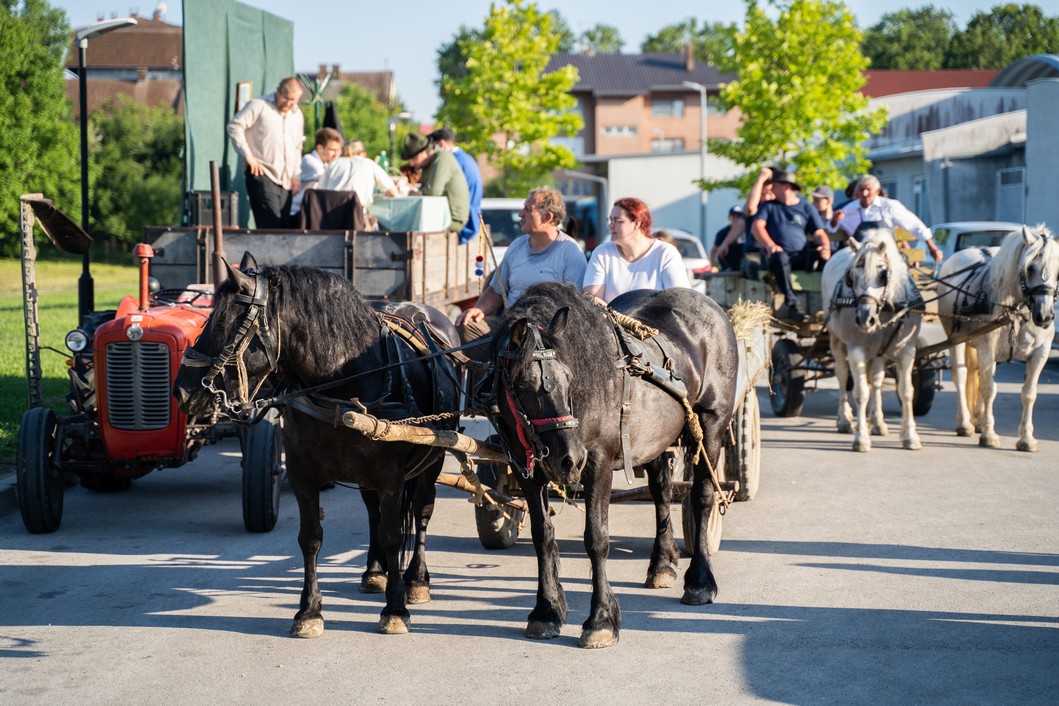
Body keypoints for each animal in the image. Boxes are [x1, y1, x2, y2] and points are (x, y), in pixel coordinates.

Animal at [171, 250, 461, 639]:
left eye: (222, 325)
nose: (183, 390)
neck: (343, 381)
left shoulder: (392, 476)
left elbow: (393, 535)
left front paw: (395, 608)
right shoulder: (302, 473)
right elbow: (311, 538)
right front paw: (308, 611)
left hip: (434, 459)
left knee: (421, 512)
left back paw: (416, 579)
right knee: (373, 513)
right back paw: (374, 571)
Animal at [487, 281, 737, 647]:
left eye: (568, 376)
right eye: (521, 384)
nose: (569, 458)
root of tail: (708, 305)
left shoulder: (598, 464)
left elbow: (597, 539)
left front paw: (600, 620)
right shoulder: (525, 469)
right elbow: (542, 536)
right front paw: (545, 611)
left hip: (711, 425)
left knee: (702, 497)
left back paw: (700, 581)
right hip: (654, 441)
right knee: (661, 492)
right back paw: (662, 565)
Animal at [821, 229, 923, 455]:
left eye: (882, 274)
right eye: (851, 278)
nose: (864, 319)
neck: (887, 309)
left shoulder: (907, 350)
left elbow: (907, 391)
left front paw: (910, 436)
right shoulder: (856, 349)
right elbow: (861, 392)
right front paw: (861, 438)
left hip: (879, 353)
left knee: (876, 380)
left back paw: (877, 422)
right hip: (836, 339)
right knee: (842, 375)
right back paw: (844, 420)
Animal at [940, 223, 1054, 450]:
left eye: (1057, 268)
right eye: (1030, 268)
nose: (1045, 316)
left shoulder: (1040, 353)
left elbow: (1029, 393)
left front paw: (1026, 438)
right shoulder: (986, 347)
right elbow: (989, 389)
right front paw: (989, 434)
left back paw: (977, 420)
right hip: (956, 339)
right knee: (961, 376)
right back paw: (965, 423)